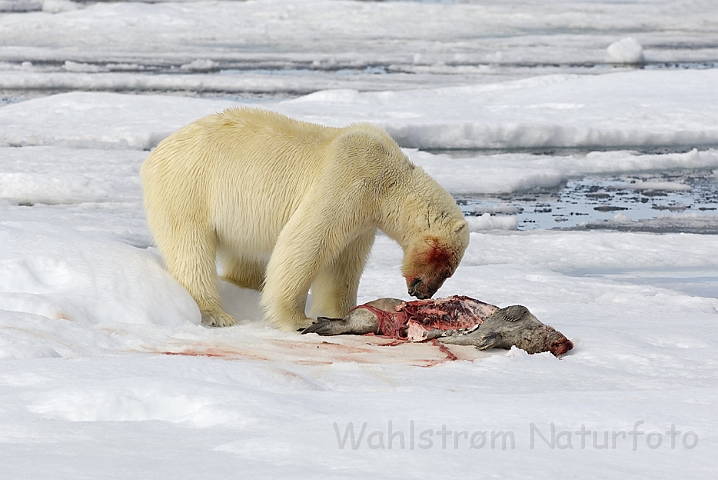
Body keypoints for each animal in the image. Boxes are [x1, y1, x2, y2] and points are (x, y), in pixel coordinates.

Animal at [141, 108, 470, 330]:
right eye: (446, 268)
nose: (422, 293)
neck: (390, 179)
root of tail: (154, 155)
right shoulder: (349, 181)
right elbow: (305, 242)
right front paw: (299, 319)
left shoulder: (364, 219)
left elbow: (342, 266)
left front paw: (340, 313)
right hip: (189, 187)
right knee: (190, 250)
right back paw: (215, 314)